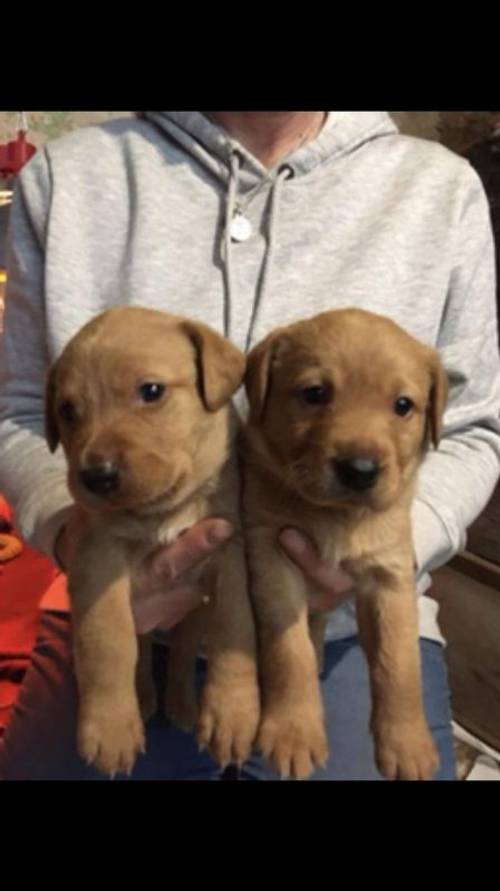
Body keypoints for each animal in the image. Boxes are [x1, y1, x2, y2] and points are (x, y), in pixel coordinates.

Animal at [45, 308, 260, 780]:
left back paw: (181, 705)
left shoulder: (231, 552)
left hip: (193, 613)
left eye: (152, 391)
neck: (165, 509)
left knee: (180, 651)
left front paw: (231, 713)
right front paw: (110, 727)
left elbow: (235, 626)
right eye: (68, 411)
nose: (96, 476)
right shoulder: (98, 557)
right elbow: (107, 641)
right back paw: (143, 699)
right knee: (142, 650)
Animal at [243, 310, 450, 784]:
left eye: (403, 406)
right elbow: (290, 651)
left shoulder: (390, 575)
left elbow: (399, 661)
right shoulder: (272, 557)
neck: (337, 517)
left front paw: (407, 743)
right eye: (314, 393)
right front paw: (294, 732)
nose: (360, 469)